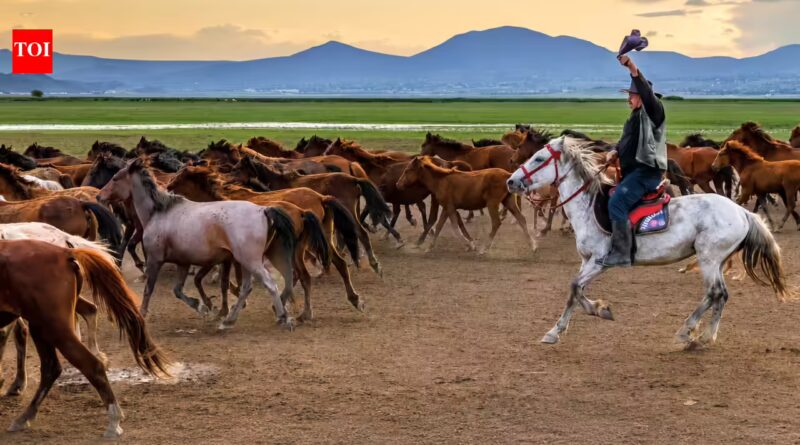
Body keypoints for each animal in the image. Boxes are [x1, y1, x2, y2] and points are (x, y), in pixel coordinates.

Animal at [98, 158, 298, 330]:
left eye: (115, 178)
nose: (99, 196)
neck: (159, 213)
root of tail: (262, 210)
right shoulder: (183, 263)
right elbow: (178, 290)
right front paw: (202, 307)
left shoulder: (155, 260)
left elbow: (149, 289)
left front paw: (142, 314)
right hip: (245, 262)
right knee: (246, 288)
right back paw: (229, 320)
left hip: (250, 261)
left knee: (269, 283)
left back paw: (282, 318)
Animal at [398, 156, 536, 254]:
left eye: (407, 170)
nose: (398, 184)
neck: (441, 181)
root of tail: (508, 175)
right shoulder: (447, 208)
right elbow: (439, 226)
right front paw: (430, 247)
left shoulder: (449, 207)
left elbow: (454, 227)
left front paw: (469, 245)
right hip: (508, 201)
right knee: (521, 219)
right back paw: (532, 245)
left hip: (492, 204)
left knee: (496, 222)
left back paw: (484, 248)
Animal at [507, 136, 788, 346]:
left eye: (538, 158)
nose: (511, 181)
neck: (589, 206)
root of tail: (742, 212)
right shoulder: (587, 261)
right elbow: (577, 292)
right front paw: (593, 312)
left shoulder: (599, 262)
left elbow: (574, 287)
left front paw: (564, 326)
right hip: (715, 260)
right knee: (720, 295)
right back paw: (706, 335)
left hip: (709, 258)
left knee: (715, 292)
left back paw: (688, 332)